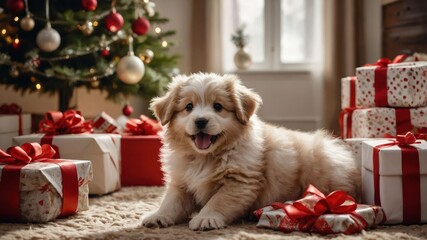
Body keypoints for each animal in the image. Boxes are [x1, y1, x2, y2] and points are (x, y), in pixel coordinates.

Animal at [143, 72, 362, 231]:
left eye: (218, 106)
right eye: (189, 107)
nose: (201, 121)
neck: (204, 158)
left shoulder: (239, 183)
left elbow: (218, 201)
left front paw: (206, 218)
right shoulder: (181, 183)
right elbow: (171, 202)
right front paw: (158, 216)